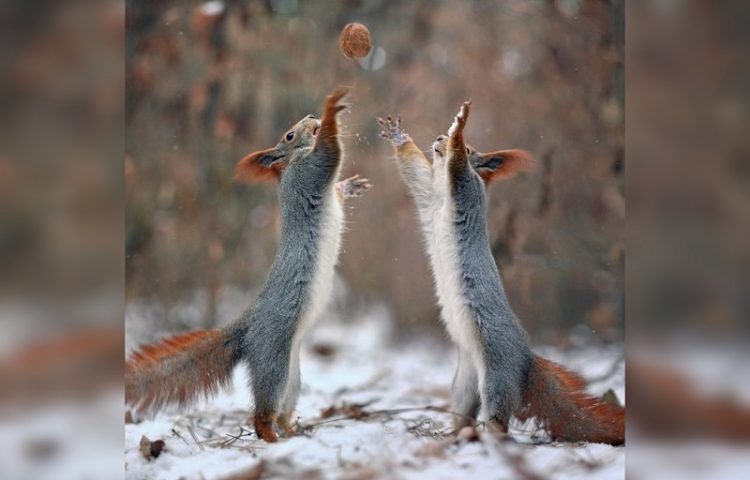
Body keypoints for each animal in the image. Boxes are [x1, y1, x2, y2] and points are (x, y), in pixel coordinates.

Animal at [127, 87, 374, 442]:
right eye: (288, 135)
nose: (310, 116)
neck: (291, 164)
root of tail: (248, 326)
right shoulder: (310, 171)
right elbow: (330, 150)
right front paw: (332, 109)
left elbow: (336, 184)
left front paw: (350, 186)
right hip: (273, 361)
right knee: (260, 415)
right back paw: (271, 437)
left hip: (291, 376)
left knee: (282, 410)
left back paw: (293, 431)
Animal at [378, 103, 624, 444]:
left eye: (472, 149)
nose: (439, 138)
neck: (441, 193)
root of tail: (525, 361)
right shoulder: (428, 196)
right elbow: (414, 171)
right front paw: (399, 136)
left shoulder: (466, 188)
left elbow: (458, 167)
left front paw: (460, 126)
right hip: (465, 382)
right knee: (464, 412)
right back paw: (452, 434)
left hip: (496, 373)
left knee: (498, 418)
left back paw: (489, 436)